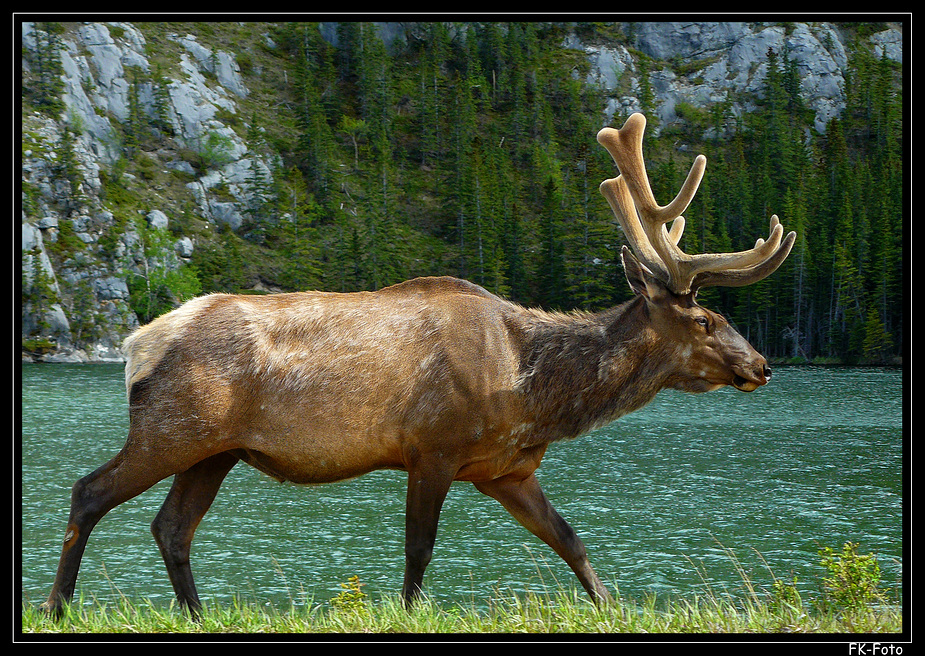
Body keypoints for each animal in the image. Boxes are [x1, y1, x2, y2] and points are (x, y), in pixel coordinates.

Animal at [43, 110, 796, 616]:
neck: (532, 392)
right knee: (89, 491)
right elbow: (419, 548)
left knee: (171, 527)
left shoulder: (506, 469)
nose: (760, 364)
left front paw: (611, 607)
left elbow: (571, 541)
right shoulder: (431, 447)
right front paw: (409, 611)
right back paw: (57, 605)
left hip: (214, 450)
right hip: (172, 428)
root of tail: (137, 344)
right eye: (704, 320)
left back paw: (197, 616)